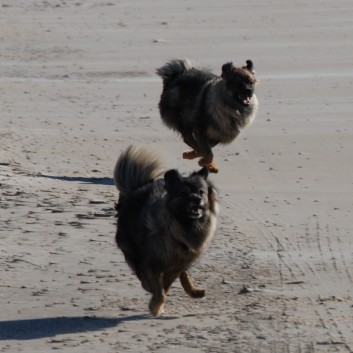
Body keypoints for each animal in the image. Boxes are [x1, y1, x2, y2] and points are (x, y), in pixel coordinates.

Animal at [113, 144, 217, 314]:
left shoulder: (177, 263)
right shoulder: (151, 262)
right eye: (183, 193)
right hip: (131, 248)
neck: (181, 227)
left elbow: (166, 284)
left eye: (201, 192)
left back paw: (194, 290)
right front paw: (155, 305)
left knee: (184, 274)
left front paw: (157, 302)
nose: (197, 199)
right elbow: (158, 287)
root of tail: (136, 188)